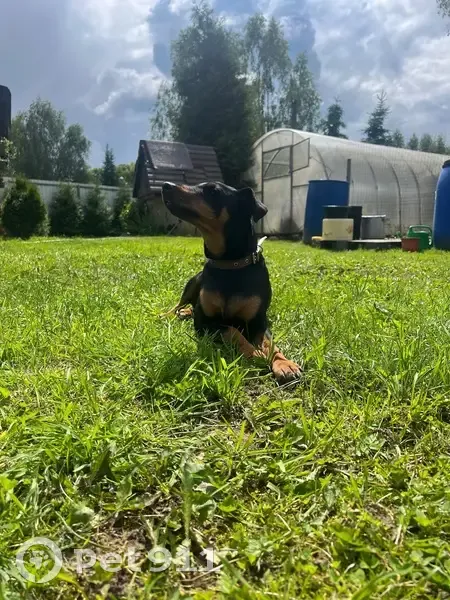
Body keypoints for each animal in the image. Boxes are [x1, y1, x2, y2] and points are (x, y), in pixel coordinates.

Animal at [160, 181, 301, 383]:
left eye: (213, 191)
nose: (166, 185)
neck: (230, 265)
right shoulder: (205, 323)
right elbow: (232, 330)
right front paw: (255, 354)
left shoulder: (258, 321)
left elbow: (270, 343)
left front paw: (284, 364)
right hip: (193, 282)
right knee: (180, 304)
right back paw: (169, 314)